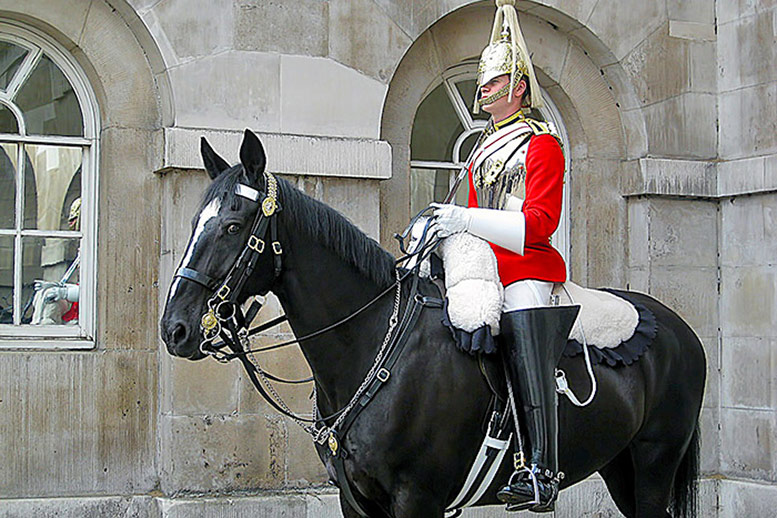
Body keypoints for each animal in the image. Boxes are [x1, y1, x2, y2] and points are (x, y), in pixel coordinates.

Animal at [161, 131, 708, 518]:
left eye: (234, 226)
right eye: (193, 223)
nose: (175, 329)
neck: (373, 344)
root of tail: (679, 328)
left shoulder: (417, 497)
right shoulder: (357, 501)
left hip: (654, 462)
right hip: (619, 467)